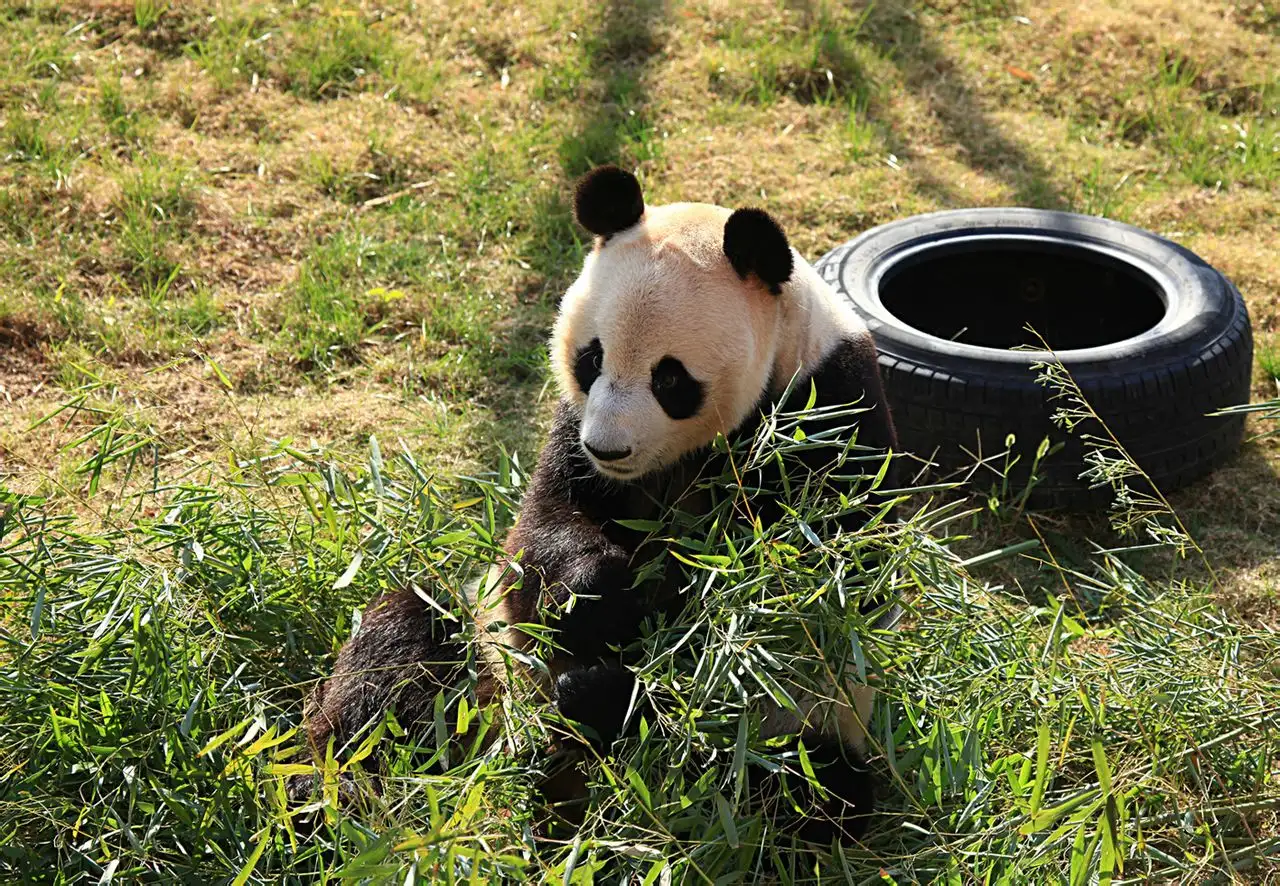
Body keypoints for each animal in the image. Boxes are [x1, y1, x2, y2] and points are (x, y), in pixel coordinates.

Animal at [288, 166, 901, 845]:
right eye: (592, 358)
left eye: (670, 378)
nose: (608, 447)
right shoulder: (569, 434)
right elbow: (544, 529)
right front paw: (594, 592)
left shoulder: (830, 416)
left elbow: (793, 599)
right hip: (481, 653)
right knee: (400, 651)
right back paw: (329, 794)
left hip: (800, 728)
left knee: (790, 789)